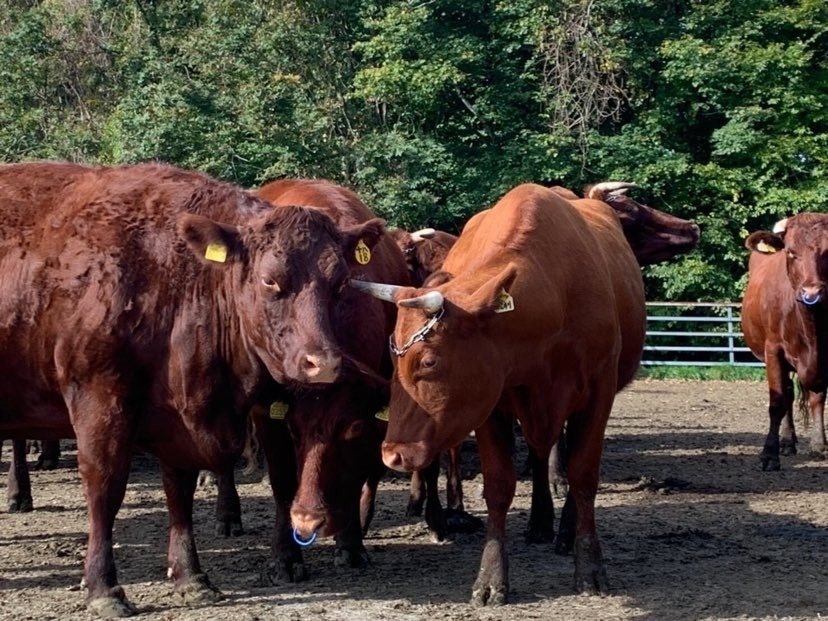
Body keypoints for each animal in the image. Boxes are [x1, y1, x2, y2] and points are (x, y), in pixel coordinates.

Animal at [0, 162, 382, 616]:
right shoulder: (99, 401)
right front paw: (104, 588)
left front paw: (191, 577)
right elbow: (105, 490)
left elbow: (178, 491)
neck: (170, 273)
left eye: (339, 282)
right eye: (270, 281)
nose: (322, 363)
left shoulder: (177, 419)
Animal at [350, 182, 648, 604]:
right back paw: (540, 521)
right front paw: (490, 577)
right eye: (393, 358)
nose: (393, 454)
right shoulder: (490, 404)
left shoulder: (598, 394)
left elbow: (583, 474)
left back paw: (563, 531)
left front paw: (589, 565)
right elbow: (499, 485)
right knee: (539, 457)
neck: (553, 296)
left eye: (429, 361)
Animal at [740, 214, 828, 470]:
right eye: (790, 252)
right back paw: (787, 442)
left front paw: (819, 444)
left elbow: (819, 398)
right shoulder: (773, 351)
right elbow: (778, 402)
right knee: (787, 394)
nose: (811, 292)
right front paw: (769, 455)